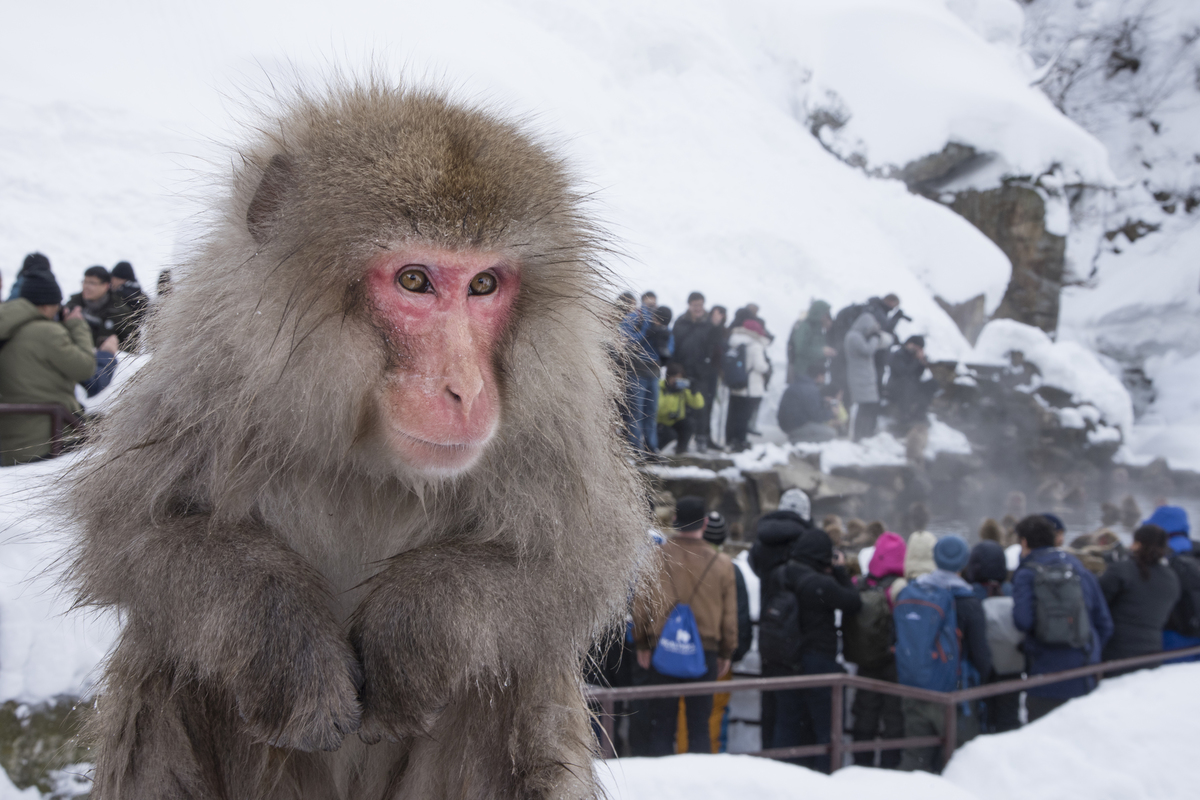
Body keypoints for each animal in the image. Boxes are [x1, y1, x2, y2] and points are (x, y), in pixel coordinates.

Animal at [65, 81, 652, 800]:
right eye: (414, 280)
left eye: (484, 285)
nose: (466, 389)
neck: (368, 457)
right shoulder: (207, 380)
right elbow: (131, 532)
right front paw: (291, 646)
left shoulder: (550, 422)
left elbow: (579, 560)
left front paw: (415, 626)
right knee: (172, 659)